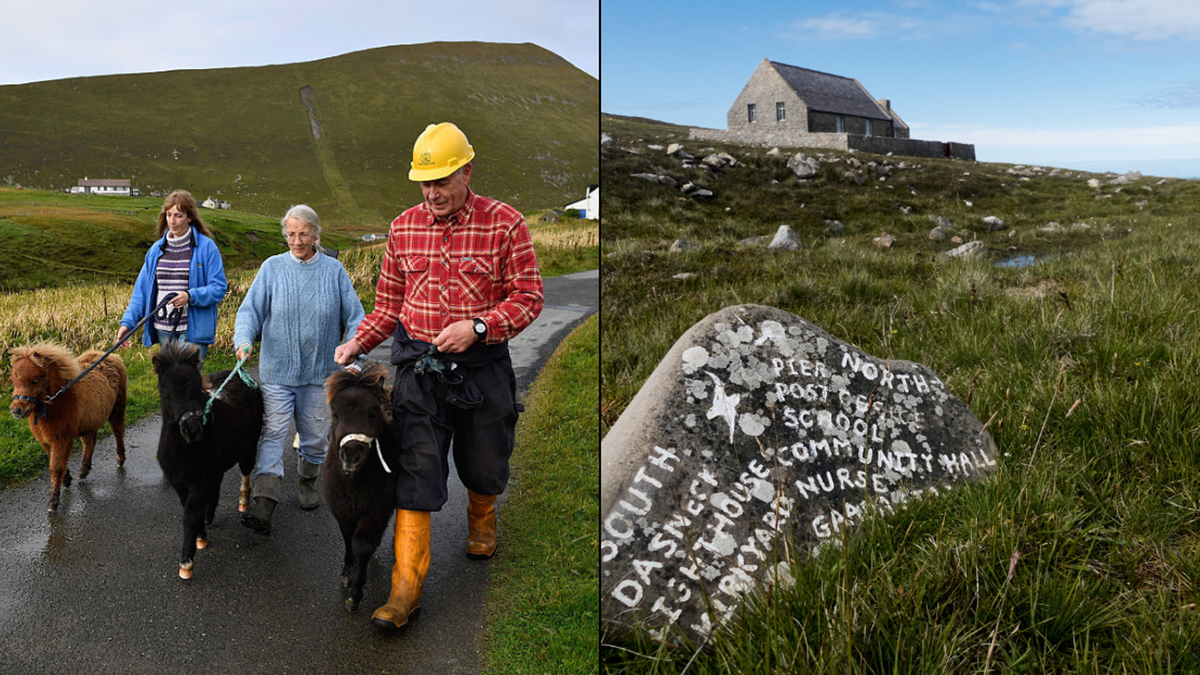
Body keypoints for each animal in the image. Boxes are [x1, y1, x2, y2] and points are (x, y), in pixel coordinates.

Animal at [9, 341, 127, 509]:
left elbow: (56, 467)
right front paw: (67, 479)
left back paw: (120, 459)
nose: (16, 410)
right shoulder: (46, 440)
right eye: (14, 380)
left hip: (117, 409)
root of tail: (113, 356)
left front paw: (53, 501)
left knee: (118, 432)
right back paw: (84, 470)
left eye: (34, 380)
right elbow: (57, 462)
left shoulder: (61, 438)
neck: (57, 401)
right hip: (89, 421)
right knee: (90, 441)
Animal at [152, 341, 262, 578]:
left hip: (248, 449)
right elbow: (191, 509)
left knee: (246, 471)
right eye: (166, 393)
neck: (185, 450)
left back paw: (243, 501)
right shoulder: (180, 483)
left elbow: (191, 514)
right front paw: (201, 536)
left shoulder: (200, 482)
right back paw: (210, 516)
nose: (192, 430)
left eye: (196, 387)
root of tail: (239, 374)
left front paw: (186, 562)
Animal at [324, 362, 398, 610]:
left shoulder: (375, 511)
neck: (354, 481)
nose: (351, 455)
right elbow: (348, 538)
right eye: (335, 414)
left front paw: (355, 592)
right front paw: (348, 571)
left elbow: (362, 545)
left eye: (372, 412)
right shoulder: (342, 510)